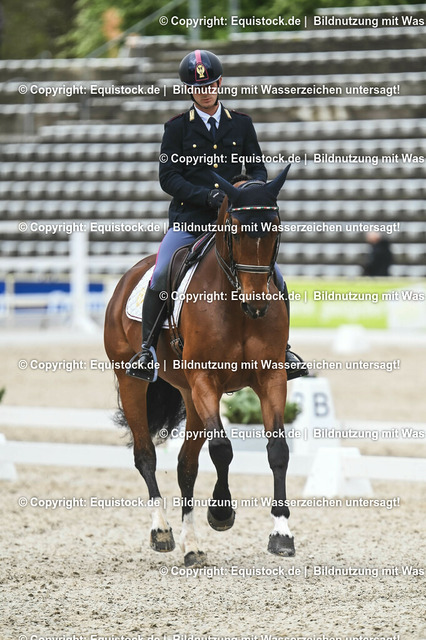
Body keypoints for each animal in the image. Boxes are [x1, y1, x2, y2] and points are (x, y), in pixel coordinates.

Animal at [104, 165, 295, 566]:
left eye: (276, 228)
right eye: (234, 231)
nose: (257, 304)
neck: (234, 301)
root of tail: (132, 274)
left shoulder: (271, 377)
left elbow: (278, 450)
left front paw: (282, 533)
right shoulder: (206, 378)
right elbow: (222, 449)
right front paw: (221, 513)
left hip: (190, 395)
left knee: (185, 466)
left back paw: (192, 546)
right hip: (133, 382)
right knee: (145, 455)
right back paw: (162, 531)